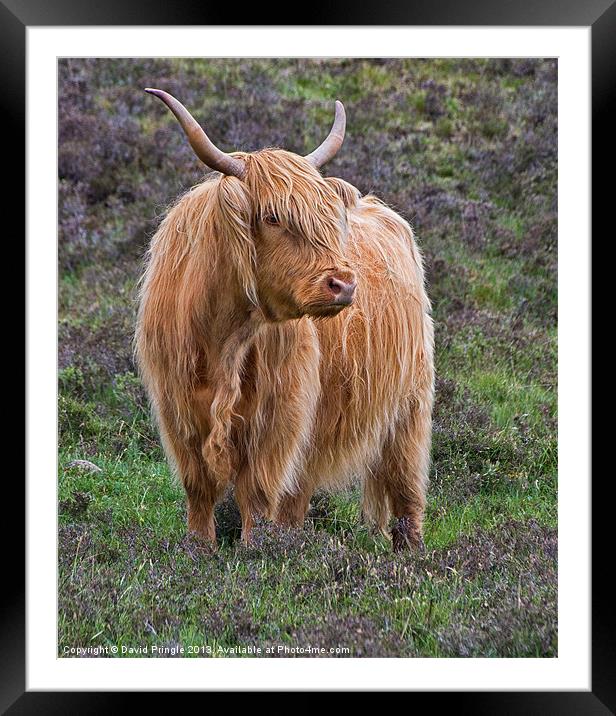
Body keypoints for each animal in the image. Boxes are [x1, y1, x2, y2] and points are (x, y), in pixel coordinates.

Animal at [136, 88, 434, 548]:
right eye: (273, 217)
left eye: (328, 219)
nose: (343, 283)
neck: (226, 336)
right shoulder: (178, 408)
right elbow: (198, 488)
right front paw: (198, 550)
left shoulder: (278, 414)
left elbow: (256, 492)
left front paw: (254, 552)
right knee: (298, 493)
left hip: (408, 407)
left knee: (405, 486)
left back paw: (412, 553)